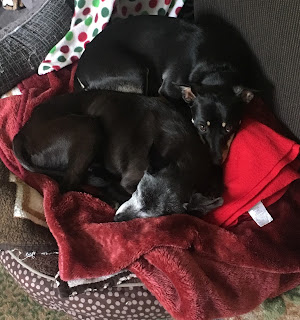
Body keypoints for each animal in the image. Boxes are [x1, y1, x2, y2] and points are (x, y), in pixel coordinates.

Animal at [12, 90, 223, 220]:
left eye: (155, 215)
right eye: (138, 191)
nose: (118, 218)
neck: (184, 158)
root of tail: (20, 135)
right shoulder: (130, 182)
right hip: (88, 127)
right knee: (67, 186)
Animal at [75, 15, 253, 165]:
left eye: (229, 128)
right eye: (202, 126)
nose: (216, 161)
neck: (216, 69)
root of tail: (79, 72)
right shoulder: (168, 90)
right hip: (136, 73)